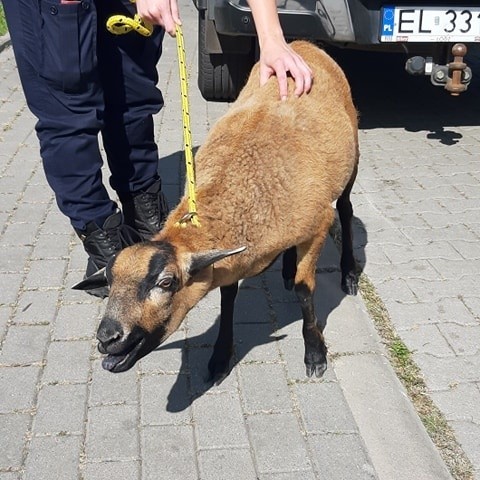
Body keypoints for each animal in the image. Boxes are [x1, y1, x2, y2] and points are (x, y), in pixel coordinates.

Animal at [74, 39, 360, 380]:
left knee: (346, 209)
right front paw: (221, 356)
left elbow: (306, 292)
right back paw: (288, 268)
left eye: (166, 283)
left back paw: (349, 274)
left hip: (352, 157)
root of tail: (301, 44)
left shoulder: (318, 225)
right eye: (110, 281)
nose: (107, 338)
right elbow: (227, 297)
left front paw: (315, 353)